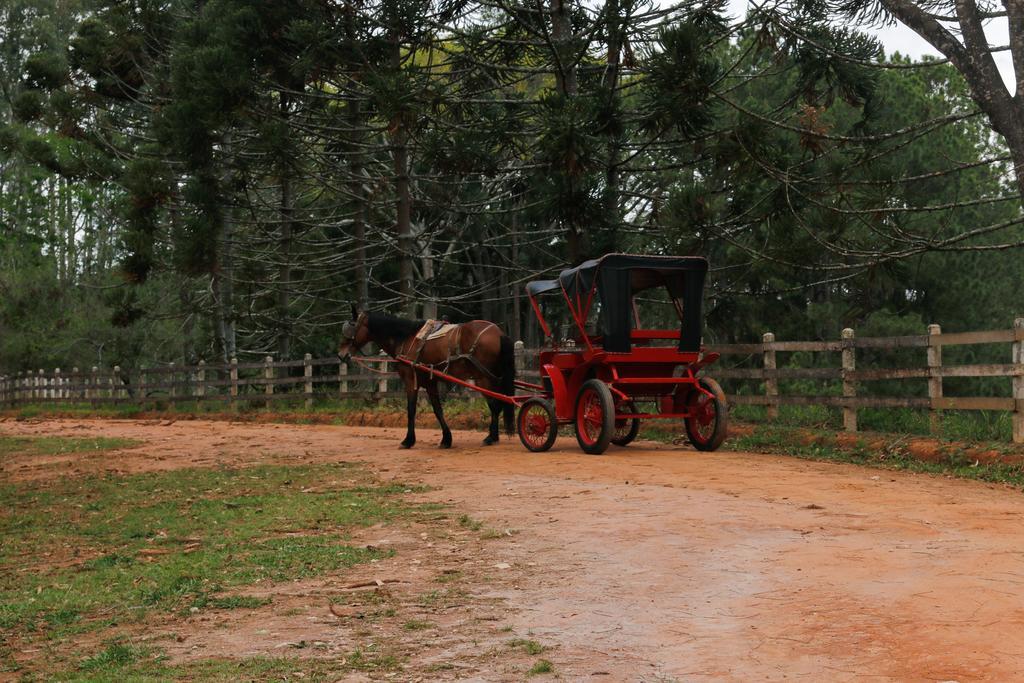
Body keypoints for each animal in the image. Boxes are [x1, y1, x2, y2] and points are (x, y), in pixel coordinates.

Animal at [337, 309, 516, 448]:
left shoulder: (410, 380)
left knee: (495, 405)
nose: (340, 355)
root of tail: (499, 333)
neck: (406, 338)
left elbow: (411, 410)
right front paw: (446, 439)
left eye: (350, 329)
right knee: (500, 403)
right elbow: (438, 410)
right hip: (494, 377)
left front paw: (408, 440)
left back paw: (491, 437)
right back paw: (493, 436)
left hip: (483, 378)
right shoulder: (430, 382)